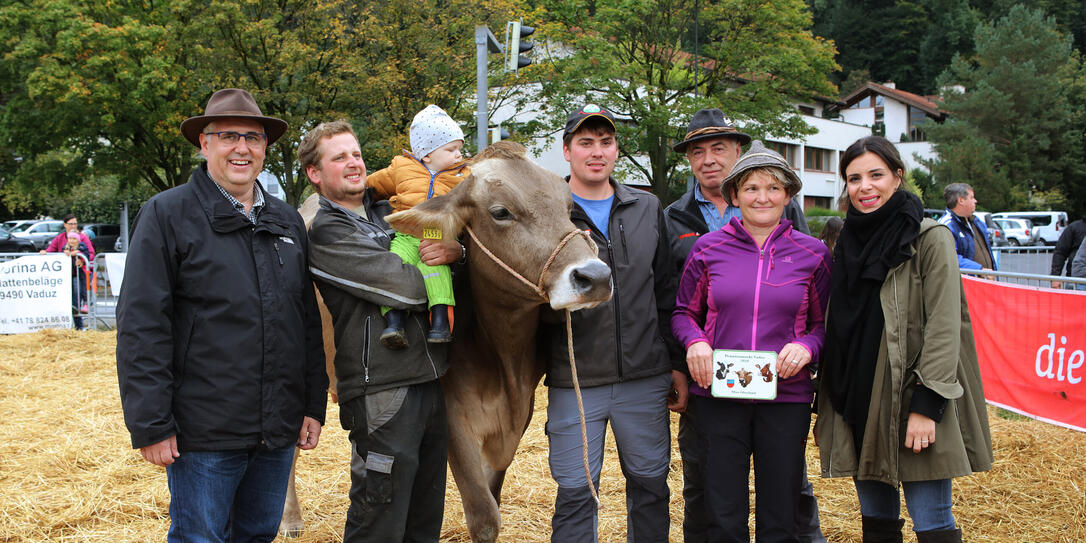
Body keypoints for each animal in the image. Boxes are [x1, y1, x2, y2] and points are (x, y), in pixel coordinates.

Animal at [284, 142, 616, 540]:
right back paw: (290, 519)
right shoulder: (453, 419)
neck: (504, 358)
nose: (595, 276)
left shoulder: (519, 414)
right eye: (501, 212)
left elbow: (493, 494)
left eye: (567, 209)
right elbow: (485, 516)